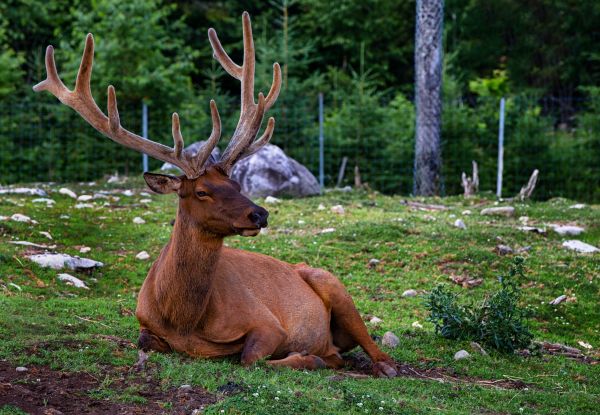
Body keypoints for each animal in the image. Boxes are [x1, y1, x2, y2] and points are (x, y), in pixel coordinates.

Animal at [34, 11, 398, 378]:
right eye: (202, 191)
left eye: (237, 185)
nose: (260, 214)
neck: (184, 319)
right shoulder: (144, 322)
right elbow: (145, 340)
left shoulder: (268, 323)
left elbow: (249, 357)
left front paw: (308, 358)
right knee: (340, 351)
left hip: (333, 284)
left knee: (371, 348)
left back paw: (379, 365)